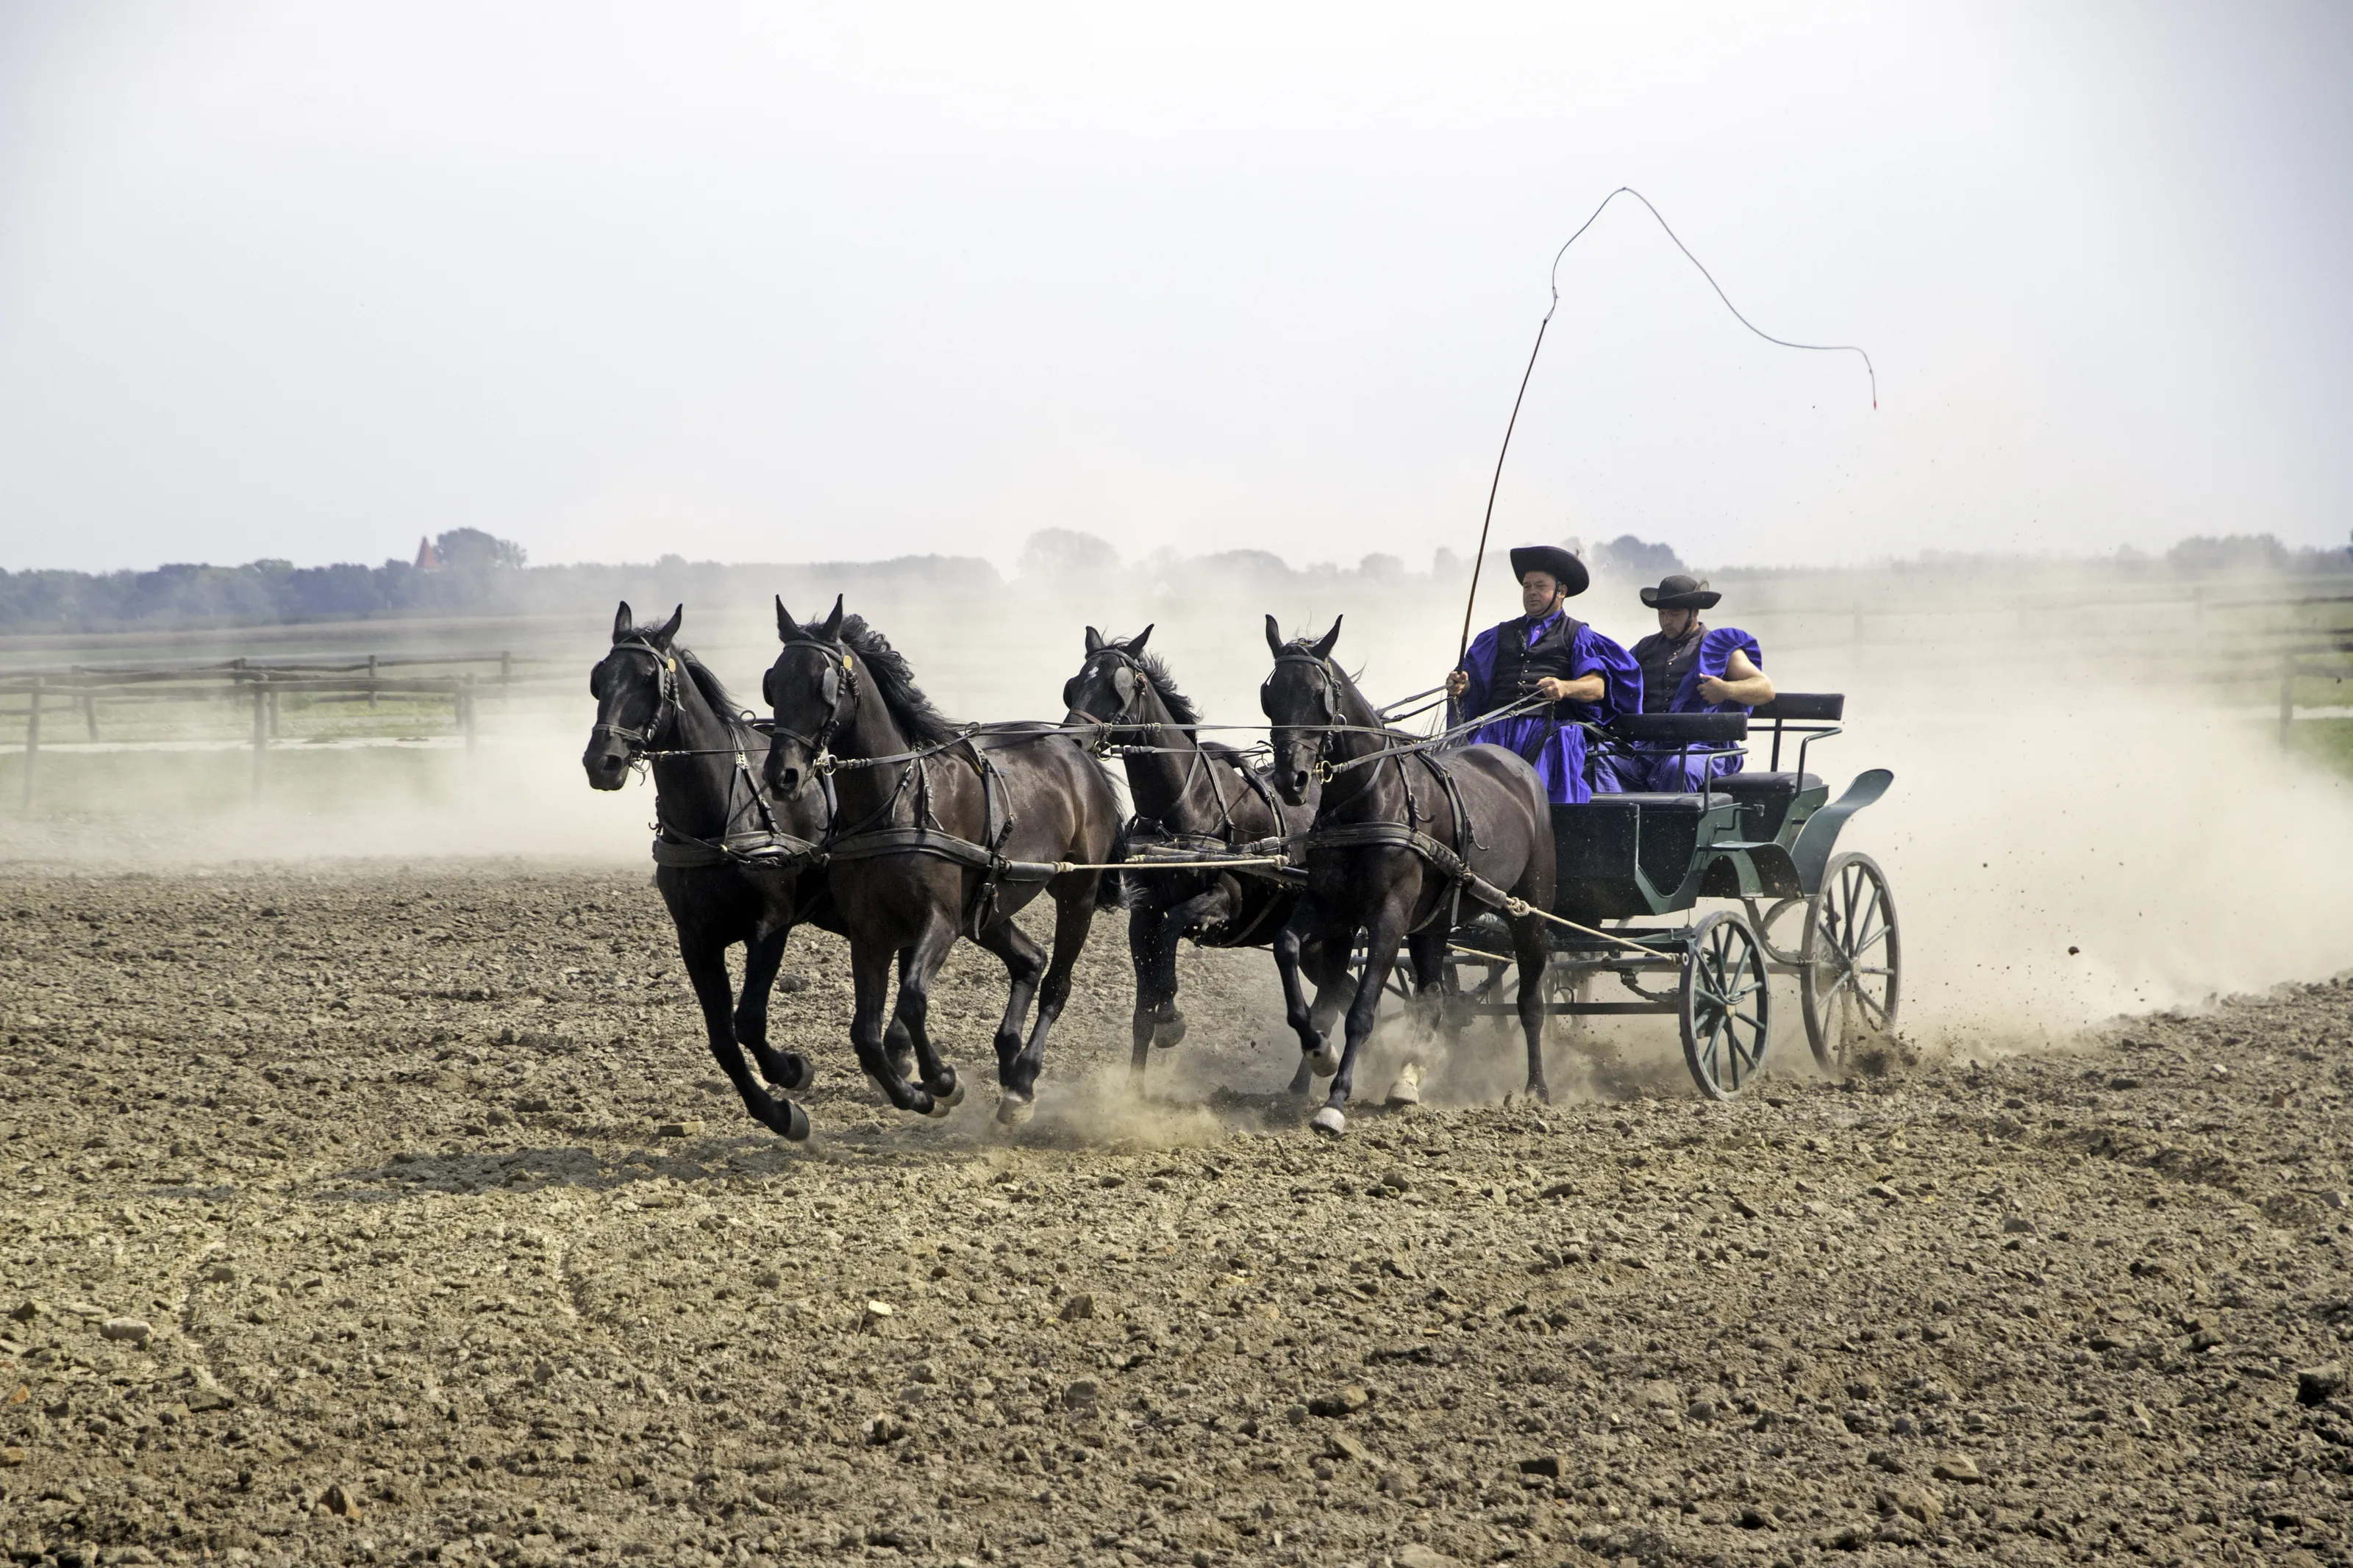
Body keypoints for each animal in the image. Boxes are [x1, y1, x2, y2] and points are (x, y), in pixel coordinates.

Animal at [581, 600, 912, 1142]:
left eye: (649, 679)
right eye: (600, 677)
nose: (601, 762)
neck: (719, 815)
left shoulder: (770, 925)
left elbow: (749, 1021)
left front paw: (793, 1071)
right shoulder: (696, 940)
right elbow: (723, 1039)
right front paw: (778, 1113)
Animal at [761, 596, 1124, 1123]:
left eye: (822, 685)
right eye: (773, 683)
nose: (782, 775)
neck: (896, 801)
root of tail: (1080, 756)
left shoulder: (941, 920)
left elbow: (913, 999)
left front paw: (943, 1081)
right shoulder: (870, 931)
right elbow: (864, 1034)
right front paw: (911, 1094)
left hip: (1077, 893)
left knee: (1057, 983)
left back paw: (1023, 1083)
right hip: (989, 906)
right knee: (1030, 961)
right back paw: (1009, 1064)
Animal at [1058, 625, 1318, 1076]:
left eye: (1120, 685)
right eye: (1073, 686)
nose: (1073, 740)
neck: (1185, 809)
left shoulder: (1228, 900)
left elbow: (1175, 925)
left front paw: (1171, 1015)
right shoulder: (1143, 913)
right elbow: (1141, 1014)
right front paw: (1135, 1085)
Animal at [1259, 614, 1557, 1135]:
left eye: (1319, 694)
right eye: (1270, 695)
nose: (1291, 781)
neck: (1369, 799)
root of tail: (1520, 767)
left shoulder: (1389, 916)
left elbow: (1360, 1011)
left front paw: (1335, 1101)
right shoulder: (1331, 910)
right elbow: (1297, 960)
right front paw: (1318, 1051)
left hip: (1530, 913)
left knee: (1530, 1001)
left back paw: (1535, 1090)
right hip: (1432, 924)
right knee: (1434, 998)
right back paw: (1406, 1082)